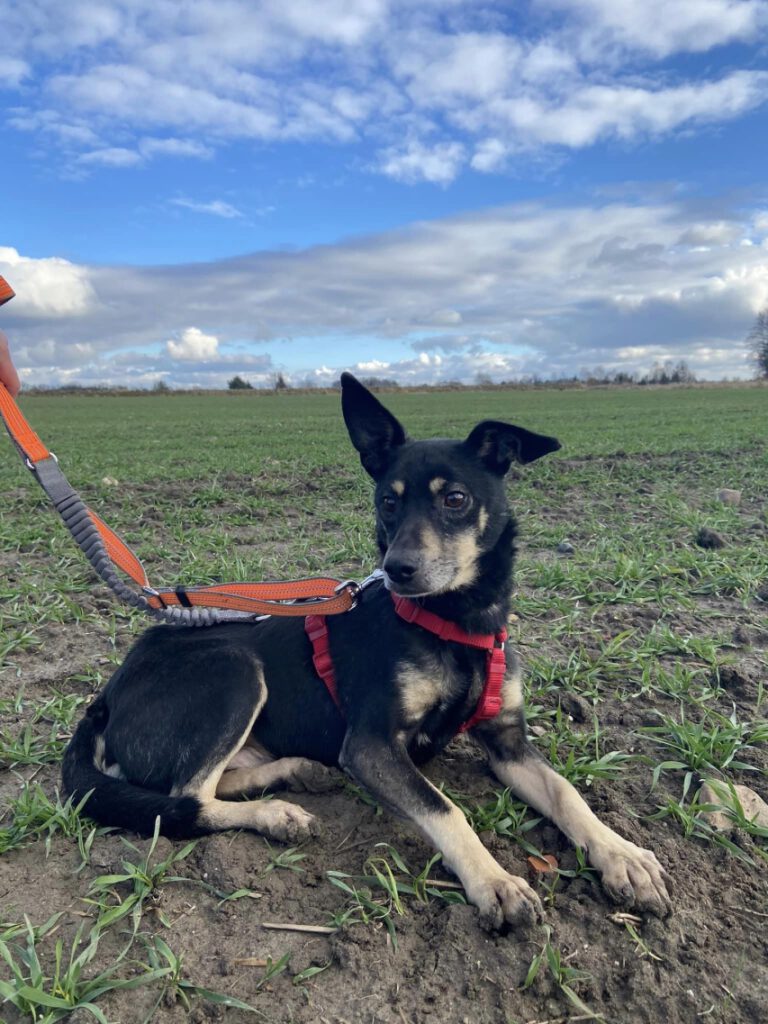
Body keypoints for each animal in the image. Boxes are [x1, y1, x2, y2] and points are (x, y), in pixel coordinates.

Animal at [63, 374, 671, 929]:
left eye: (455, 499)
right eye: (387, 501)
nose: (399, 568)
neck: (457, 623)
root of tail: (106, 697)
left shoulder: (508, 742)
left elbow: (567, 793)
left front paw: (623, 855)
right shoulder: (370, 745)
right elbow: (445, 808)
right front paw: (494, 881)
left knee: (207, 782)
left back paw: (295, 770)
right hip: (233, 672)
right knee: (185, 798)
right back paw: (277, 814)